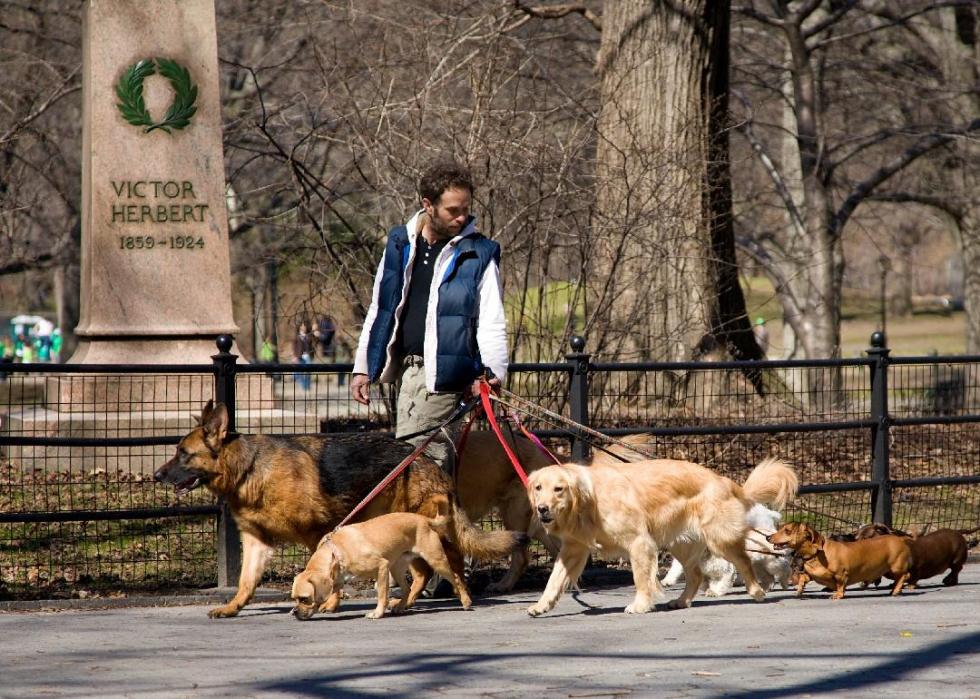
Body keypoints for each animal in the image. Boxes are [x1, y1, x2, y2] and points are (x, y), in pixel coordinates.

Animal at [290, 512, 470, 620]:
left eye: (304, 599)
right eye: (294, 599)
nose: (295, 612)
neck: (337, 551)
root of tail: (424, 518)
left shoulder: (382, 567)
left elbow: (382, 594)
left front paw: (377, 613)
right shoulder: (337, 579)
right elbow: (335, 592)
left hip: (436, 561)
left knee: (456, 577)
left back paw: (466, 601)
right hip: (397, 567)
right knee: (407, 588)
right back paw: (400, 606)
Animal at [660, 504, 788, 596]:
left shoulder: (727, 571)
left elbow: (721, 583)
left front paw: (714, 592)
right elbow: (704, 583)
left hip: (773, 563)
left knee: (784, 569)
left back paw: (785, 582)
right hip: (759, 566)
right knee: (769, 578)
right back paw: (765, 588)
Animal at [764, 524, 912, 600]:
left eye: (787, 531)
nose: (767, 537)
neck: (817, 554)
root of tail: (899, 539)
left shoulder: (841, 574)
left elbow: (840, 585)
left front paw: (838, 594)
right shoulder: (811, 574)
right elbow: (803, 579)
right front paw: (799, 590)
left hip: (893, 569)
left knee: (905, 575)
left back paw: (897, 590)